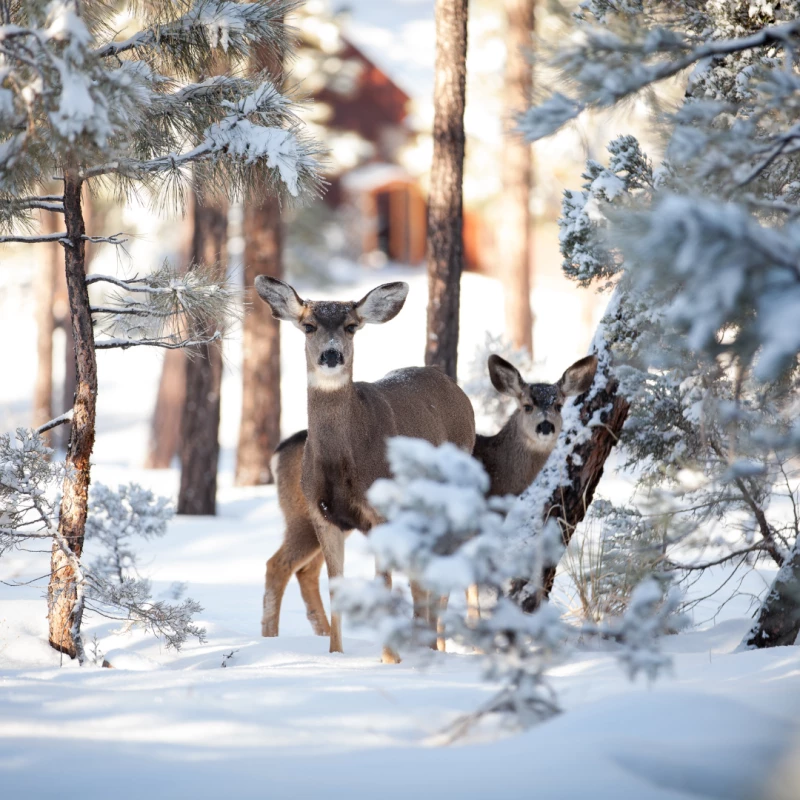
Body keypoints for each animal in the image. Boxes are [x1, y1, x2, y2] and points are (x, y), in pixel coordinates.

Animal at [256, 276, 476, 664]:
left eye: (351, 326)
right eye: (308, 325)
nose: (331, 355)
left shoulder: (381, 514)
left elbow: (384, 583)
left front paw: (389, 659)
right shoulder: (323, 513)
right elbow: (338, 586)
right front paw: (335, 653)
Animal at [260, 350, 596, 644]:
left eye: (559, 404)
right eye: (526, 404)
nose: (545, 426)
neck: (498, 473)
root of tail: (277, 454)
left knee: (305, 571)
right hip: (304, 515)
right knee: (280, 565)